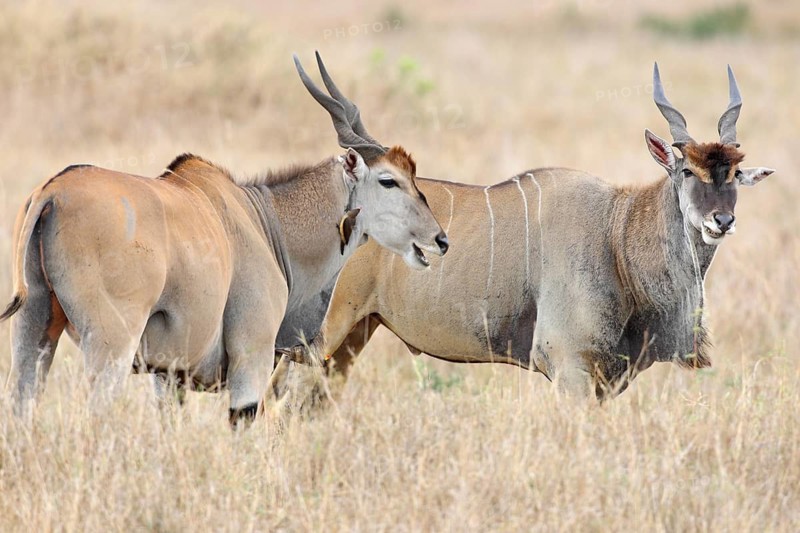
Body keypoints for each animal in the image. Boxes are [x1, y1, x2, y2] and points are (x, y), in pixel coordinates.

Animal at [0, 53, 447, 423]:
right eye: (389, 180)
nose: (440, 239)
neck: (267, 220)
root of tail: (53, 192)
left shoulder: (168, 377)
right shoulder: (251, 360)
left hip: (32, 331)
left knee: (21, 406)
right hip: (110, 345)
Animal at [276, 64, 774, 404]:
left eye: (734, 173)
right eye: (687, 171)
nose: (721, 221)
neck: (616, 231)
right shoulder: (571, 367)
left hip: (352, 337)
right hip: (318, 335)